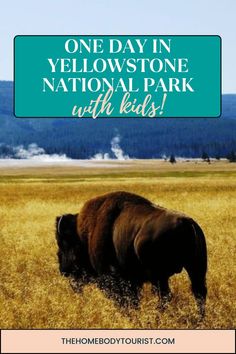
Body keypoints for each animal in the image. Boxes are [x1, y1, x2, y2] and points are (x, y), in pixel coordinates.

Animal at [55, 192, 206, 316]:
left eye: (63, 244)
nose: (63, 270)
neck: (84, 235)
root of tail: (187, 222)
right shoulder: (133, 280)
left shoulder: (111, 278)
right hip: (195, 269)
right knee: (198, 293)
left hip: (160, 275)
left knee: (166, 296)